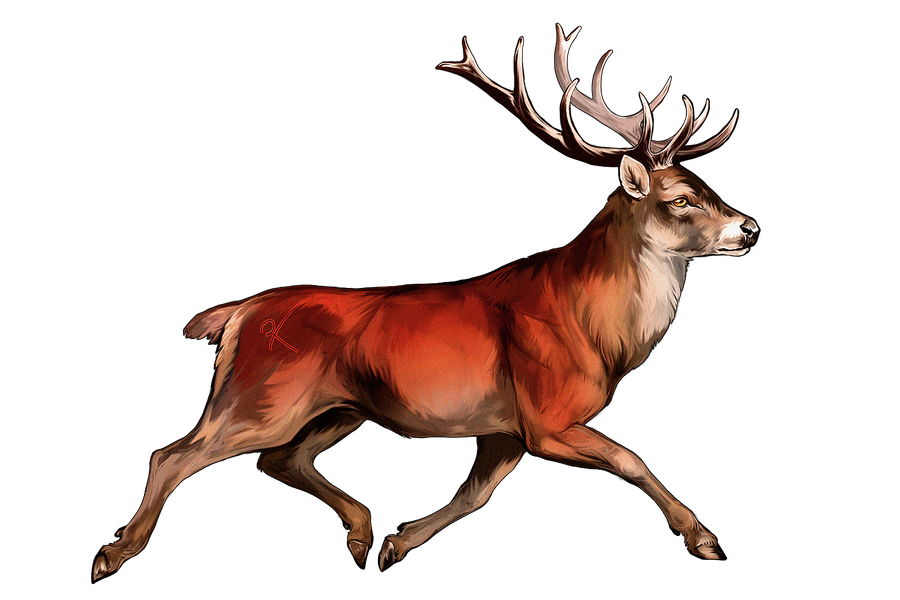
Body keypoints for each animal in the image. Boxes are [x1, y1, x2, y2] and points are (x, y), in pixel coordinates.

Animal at [93, 24, 757, 579]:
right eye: (679, 199)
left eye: (711, 189)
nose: (749, 227)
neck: (596, 328)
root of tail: (236, 313)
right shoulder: (547, 413)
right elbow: (630, 459)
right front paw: (702, 537)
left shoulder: (508, 428)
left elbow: (475, 493)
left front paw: (398, 542)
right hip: (261, 394)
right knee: (175, 454)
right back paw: (114, 553)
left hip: (342, 407)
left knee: (278, 462)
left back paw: (361, 533)